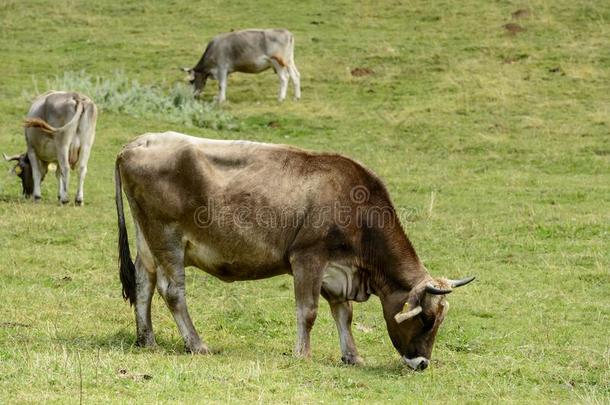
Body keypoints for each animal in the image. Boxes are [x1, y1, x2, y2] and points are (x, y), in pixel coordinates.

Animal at [115, 132, 476, 370]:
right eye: (427, 318)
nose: (423, 363)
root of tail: (137, 143)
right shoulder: (308, 258)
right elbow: (309, 311)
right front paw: (303, 354)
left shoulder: (338, 271)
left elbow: (344, 313)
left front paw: (352, 355)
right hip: (167, 237)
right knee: (172, 291)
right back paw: (197, 344)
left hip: (147, 239)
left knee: (144, 282)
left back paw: (146, 338)